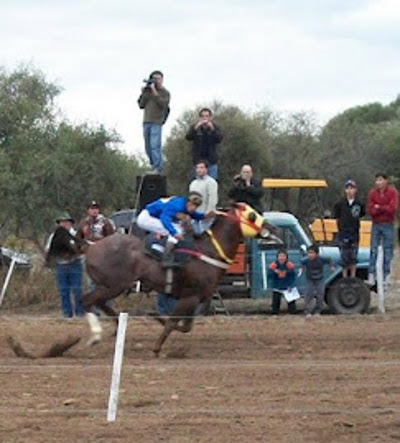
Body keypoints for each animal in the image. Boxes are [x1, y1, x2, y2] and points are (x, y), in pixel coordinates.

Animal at [46, 206, 278, 358]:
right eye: (252, 214)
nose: (272, 228)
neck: (209, 250)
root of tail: (90, 245)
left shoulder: (196, 298)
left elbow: (185, 326)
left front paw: (156, 316)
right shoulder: (190, 296)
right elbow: (174, 323)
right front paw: (157, 346)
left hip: (111, 286)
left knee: (99, 303)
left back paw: (115, 327)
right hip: (114, 285)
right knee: (86, 301)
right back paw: (95, 336)